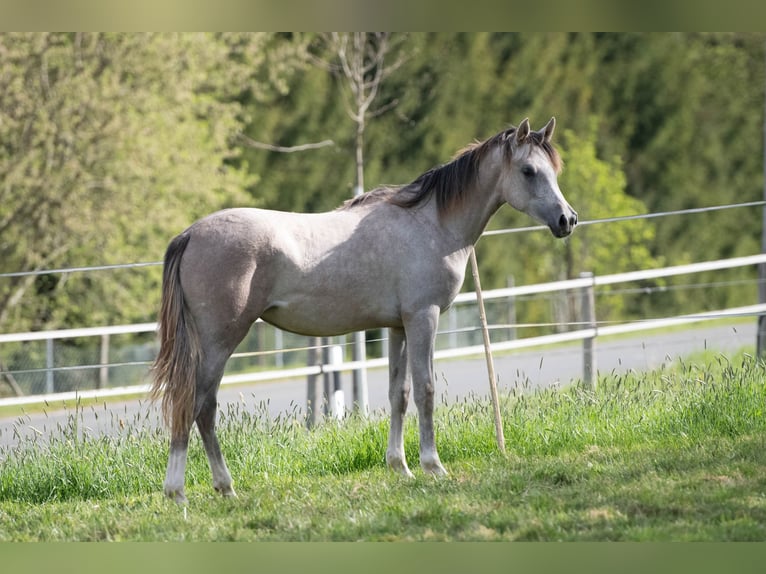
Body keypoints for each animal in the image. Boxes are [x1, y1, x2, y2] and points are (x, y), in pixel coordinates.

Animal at [150, 117, 577, 504]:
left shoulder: (398, 327)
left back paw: (224, 488)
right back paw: (179, 492)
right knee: (196, 405)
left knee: (203, 409)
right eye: (528, 171)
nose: (567, 219)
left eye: (554, 171)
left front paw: (400, 466)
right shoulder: (424, 318)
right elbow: (426, 389)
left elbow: (399, 393)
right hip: (218, 343)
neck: (431, 222)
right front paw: (433, 465)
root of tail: (190, 234)